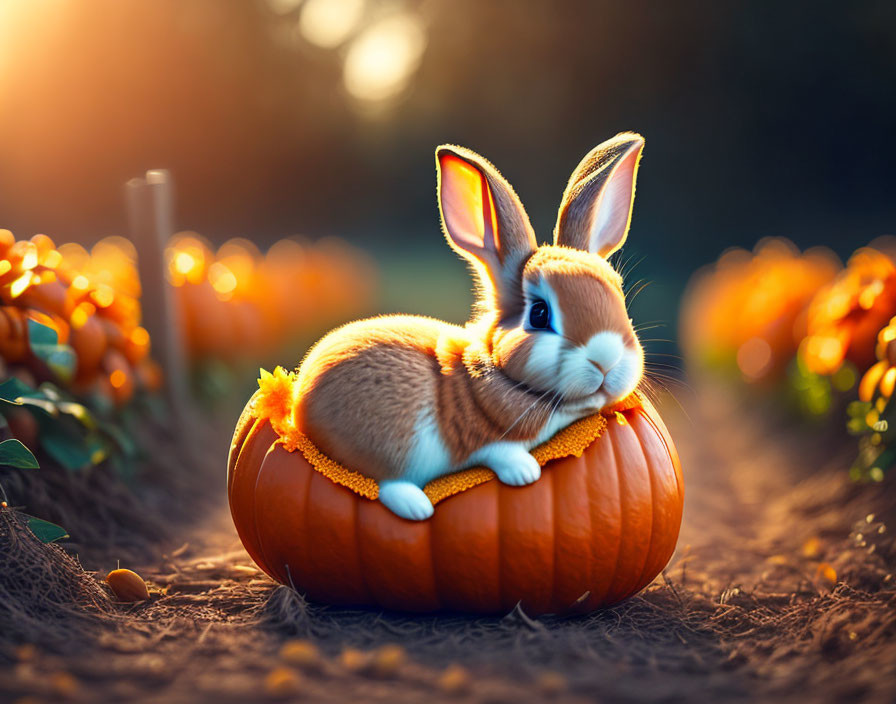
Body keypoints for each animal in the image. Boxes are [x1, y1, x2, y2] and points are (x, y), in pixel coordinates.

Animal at [298, 132, 648, 520]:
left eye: (618, 292)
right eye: (540, 314)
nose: (606, 361)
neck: (498, 372)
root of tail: (301, 401)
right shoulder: (480, 439)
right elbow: (497, 452)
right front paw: (525, 472)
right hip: (394, 441)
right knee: (383, 483)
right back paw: (416, 507)